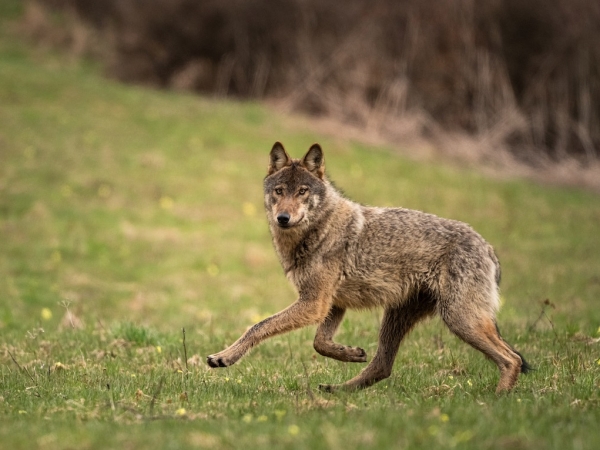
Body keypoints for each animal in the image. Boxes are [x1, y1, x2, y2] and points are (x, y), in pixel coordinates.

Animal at [207, 142, 528, 392]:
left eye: (302, 192)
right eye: (279, 190)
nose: (283, 218)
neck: (318, 230)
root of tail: (488, 248)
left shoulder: (314, 303)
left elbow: (258, 326)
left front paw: (224, 357)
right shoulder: (331, 304)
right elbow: (319, 343)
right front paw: (349, 353)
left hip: (459, 320)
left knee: (512, 359)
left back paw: (499, 401)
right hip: (399, 318)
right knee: (382, 366)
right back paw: (336, 390)